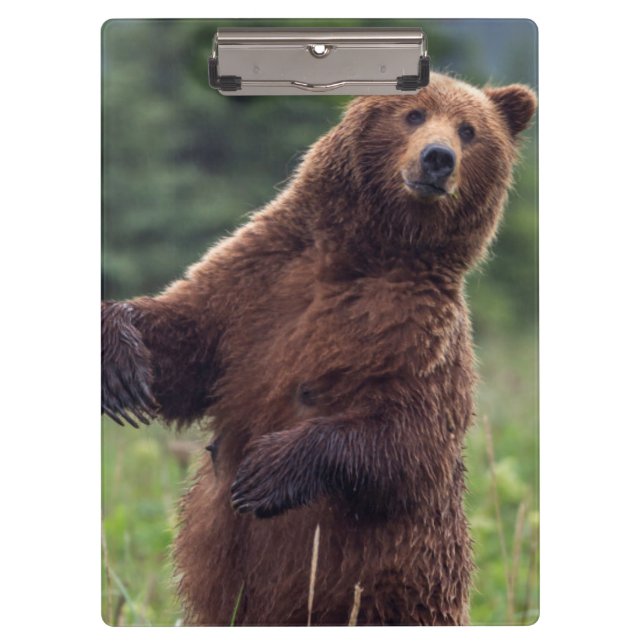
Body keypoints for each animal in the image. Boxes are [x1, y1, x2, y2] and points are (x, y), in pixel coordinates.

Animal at [102, 72, 537, 626]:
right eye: (413, 114)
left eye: (469, 130)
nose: (438, 158)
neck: (368, 251)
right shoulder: (260, 280)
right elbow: (187, 344)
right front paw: (120, 365)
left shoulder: (420, 334)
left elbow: (411, 438)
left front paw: (265, 472)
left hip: (399, 581)